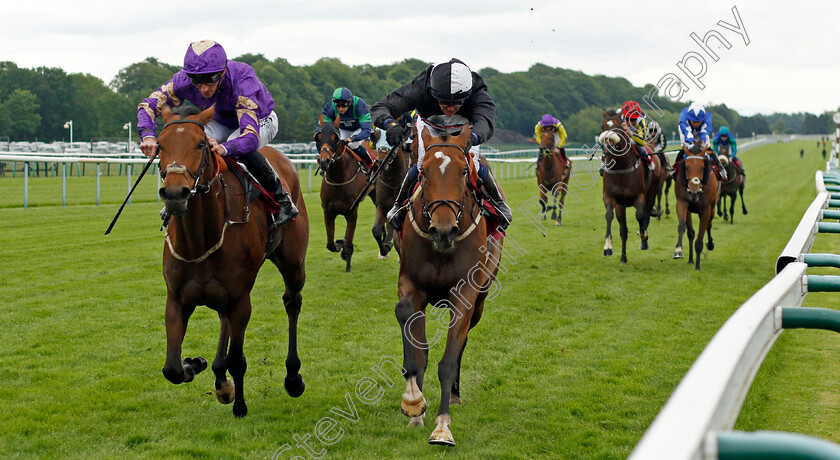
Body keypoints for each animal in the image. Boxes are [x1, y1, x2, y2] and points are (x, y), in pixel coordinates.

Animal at [156, 104, 306, 416]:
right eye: (160, 145)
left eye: (200, 144)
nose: (174, 193)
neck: (200, 240)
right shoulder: (176, 299)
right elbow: (171, 368)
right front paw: (195, 364)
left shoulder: (240, 300)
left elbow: (238, 359)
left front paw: (240, 406)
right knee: (222, 317)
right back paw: (218, 375)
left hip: (293, 263)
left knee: (292, 302)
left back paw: (292, 376)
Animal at [314, 117, 370, 272]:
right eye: (318, 137)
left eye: (336, 138)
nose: (324, 161)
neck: (339, 179)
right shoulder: (328, 212)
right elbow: (330, 245)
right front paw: (340, 244)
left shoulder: (352, 212)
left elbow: (349, 242)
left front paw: (347, 262)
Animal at [390, 122, 502, 446]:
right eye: (423, 171)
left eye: (464, 171)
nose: (443, 231)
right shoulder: (411, 284)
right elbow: (413, 339)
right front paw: (414, 403)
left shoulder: (464, 294)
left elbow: (449, 360)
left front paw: (442, 425)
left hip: (481, 299)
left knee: (462, 343)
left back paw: (453, 396)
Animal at [600, 109, 668, 264]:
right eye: (602, 127)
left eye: (618, 127)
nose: (607, 148)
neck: (621, 167)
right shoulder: (612, 199)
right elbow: (612, 219)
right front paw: (609, 248)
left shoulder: (640, 197)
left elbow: (640, 216)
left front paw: (643, 236)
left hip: (653, 191)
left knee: (647, 214)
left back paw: (644, 240)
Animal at [672, 140, 720, 270]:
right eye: (686, 166)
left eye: (703, 167)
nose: (694, 192)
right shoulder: (682, 203)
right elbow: (682, 227)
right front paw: (678, 251)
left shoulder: (706, 209)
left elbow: (700, 238)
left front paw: (698, 266)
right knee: (691, 233)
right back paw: (691, 259)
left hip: (713, 208)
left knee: (709, 225)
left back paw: (710, 244)